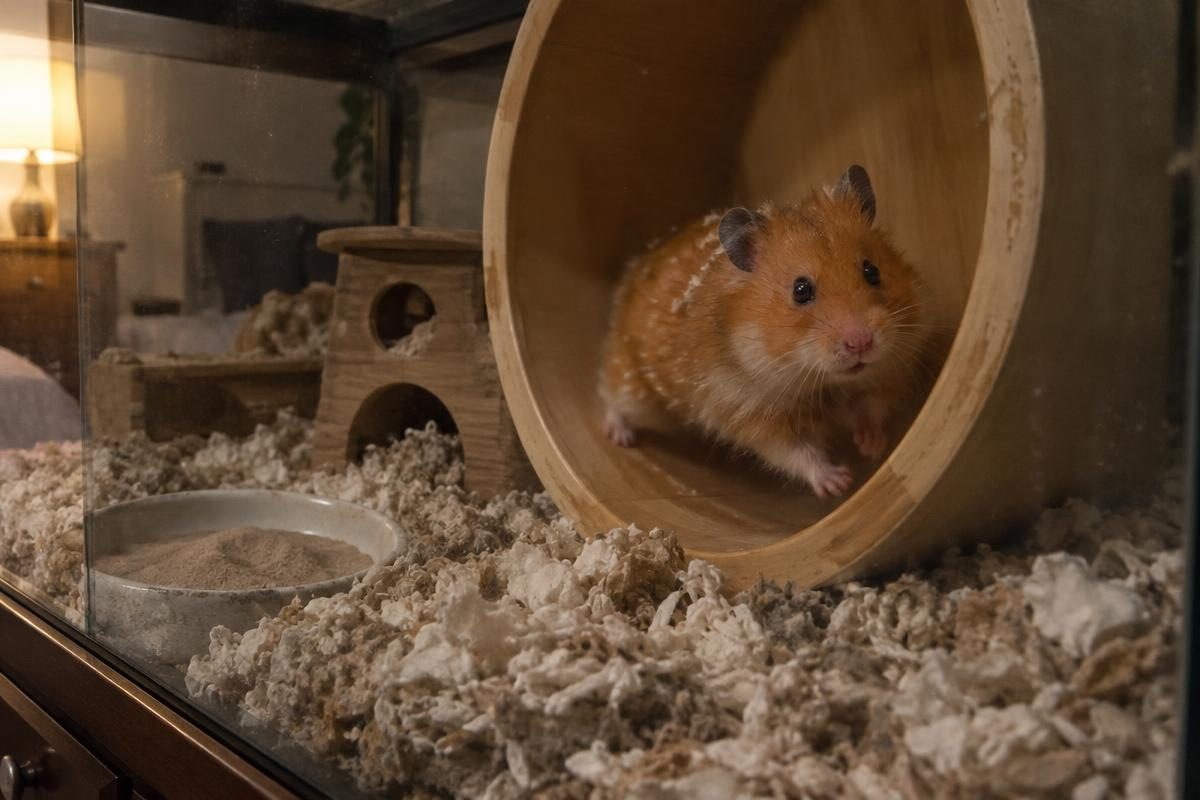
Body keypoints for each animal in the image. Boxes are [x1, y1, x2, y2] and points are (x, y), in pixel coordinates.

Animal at [598, 165, 932, 498]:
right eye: (801, 290)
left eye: (872, 271)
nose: (860, 343)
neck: (823, 384)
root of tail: (637, 266)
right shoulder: (754, 416)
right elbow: (799, 454)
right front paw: (838, 484)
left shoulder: (888, 373)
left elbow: (871, 409)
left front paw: (872, 447)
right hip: (635, 386)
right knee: (611, 395)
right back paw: (619, 437)